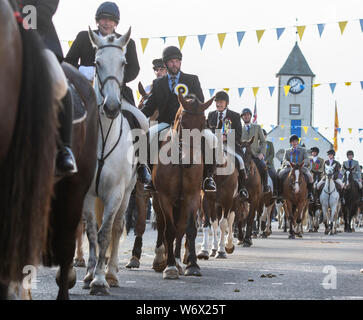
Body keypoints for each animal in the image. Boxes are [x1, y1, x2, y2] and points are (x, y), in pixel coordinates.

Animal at [82, 28, 149, 296]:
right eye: (96, 63)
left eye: (124, 63)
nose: (111, 106)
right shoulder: (88, 193)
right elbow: (92, 232)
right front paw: (89, 274)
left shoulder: (115, 192)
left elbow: (106, 233)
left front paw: (100, 280)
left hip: (129, 190)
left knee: (118, 227)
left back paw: (111, 274)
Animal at [151, 91, 215, 278]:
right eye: (183, 123)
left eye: (202, 124)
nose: (189, 160)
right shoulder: (165, 198)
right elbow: (169, 230)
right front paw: (170, 266)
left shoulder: (192, 197)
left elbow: (189, 229)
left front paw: (192, 265)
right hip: (158, 200)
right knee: (162, 226)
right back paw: (162, 260)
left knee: (180, 228)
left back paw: (179, 262)